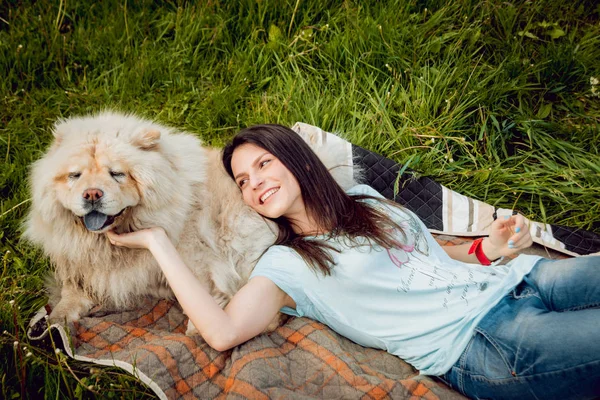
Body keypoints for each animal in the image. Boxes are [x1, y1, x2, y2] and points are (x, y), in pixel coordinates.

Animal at [24, 111, 356, 332]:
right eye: (75, 175)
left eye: (117, 174)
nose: (92, 194)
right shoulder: (84, 264)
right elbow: (73, 289)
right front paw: (58, 318)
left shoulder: (196, 261)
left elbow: (206, 295)